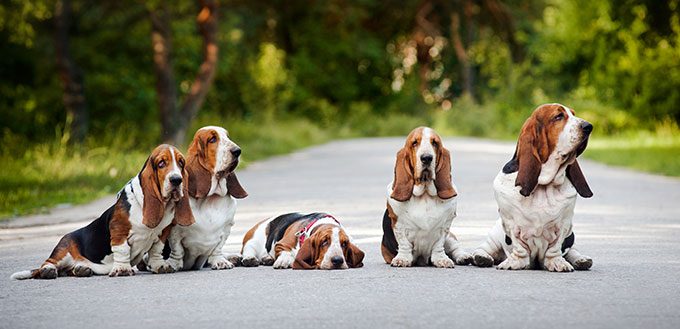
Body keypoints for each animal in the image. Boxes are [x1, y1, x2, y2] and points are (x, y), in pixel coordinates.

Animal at [10, 145, 194, 278]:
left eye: (181, 163)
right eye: (161, 163)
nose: (176, 180)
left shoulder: (163, 232)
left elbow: (156, 250)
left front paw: (159, 266)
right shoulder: (119, 230)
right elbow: (122, 250)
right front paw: (122, 269)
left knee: (68, 270)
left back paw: (81, 269)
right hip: (63, 251)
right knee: (48, 263)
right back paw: (49, 270)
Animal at [163, 125, 248, 270]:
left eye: (227, 137)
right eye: (212, 139)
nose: (237, 151)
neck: (211, 198)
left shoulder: (227, 228)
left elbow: (218, 248)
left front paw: (220, 261)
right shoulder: (174, 231)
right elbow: (177, 250)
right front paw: (173, 264)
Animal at [382, 127, 472, 268]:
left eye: (435, 143)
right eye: (414, 143)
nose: (426, 158)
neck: (424, 195)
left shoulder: (445, 226)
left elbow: (439, 245)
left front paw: (441, 259)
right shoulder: (398, 223)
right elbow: (404, 243)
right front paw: (402, 259)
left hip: (451, 238)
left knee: (455, 247)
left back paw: (464, 256)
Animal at [472, 104, 596, 270]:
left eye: (573, 114)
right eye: (558, 116)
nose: (588, 126)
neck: (543, 185)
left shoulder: (564, 225)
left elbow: (555, 247)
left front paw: (556, 262)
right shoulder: (511, 223)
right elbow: (519, 245)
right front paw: (514, 262)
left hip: (572, 235)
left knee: (573, 250)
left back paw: (581, 260)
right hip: (495, 234)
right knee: (484, 248)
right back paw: (481, 257)